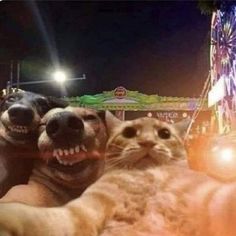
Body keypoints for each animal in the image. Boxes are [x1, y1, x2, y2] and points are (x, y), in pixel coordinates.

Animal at [0, 115, 234, 235]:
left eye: (165, 134)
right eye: (129, 133)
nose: (147, 142)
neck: (145, 178)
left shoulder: (212, 198)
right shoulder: (83, 212)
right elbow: (31, 216)